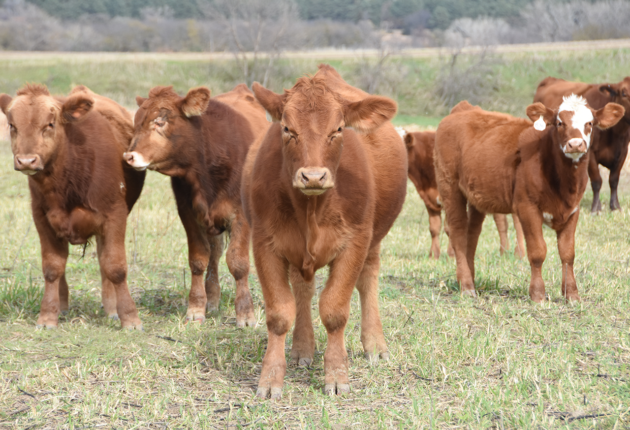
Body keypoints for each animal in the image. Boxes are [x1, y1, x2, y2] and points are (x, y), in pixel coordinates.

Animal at [0, 84, 146, 330]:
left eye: (50, 124)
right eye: (12, 125)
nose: (27, 161)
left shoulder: (115, 215)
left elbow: (115, 267)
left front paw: (129, 317)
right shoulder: (41, 217)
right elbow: (52, 267)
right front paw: (48, 316)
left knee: (103, 259)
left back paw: (111, 308)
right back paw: (63, 305)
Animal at [124, 83, 268, 326]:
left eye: (160, 121)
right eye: (136, 123)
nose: (129, 156)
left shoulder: (241, 215)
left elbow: (238, 263)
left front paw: (245, 314)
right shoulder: (188, 213)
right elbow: (199, 259)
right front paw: (196, 308)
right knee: (215, 254)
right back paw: (212, 299)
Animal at [242, 64, 410, 400]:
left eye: (338, 130)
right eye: (287, 129)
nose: (313, 176)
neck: (311, 209)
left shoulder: (355, 243)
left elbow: (335, 310)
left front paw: (336, 375)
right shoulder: (265, 244)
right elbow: (279, 314)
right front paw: (270, 378)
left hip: (374, 240)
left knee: (368, 280)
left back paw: (375, 344)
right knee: (303, 290)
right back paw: (302, 348)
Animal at [436, 96, 624, 302]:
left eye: (589, 123)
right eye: (560, 123)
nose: (575, 144)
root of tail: (464, 109)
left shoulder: (573, 210)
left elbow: (568, 253)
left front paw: (572, 294)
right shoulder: (527, 208)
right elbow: (537, 251)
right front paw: (538, 294)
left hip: (476, 196)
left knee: (472, 234)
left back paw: (469, 279)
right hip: (450, 188)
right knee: (458, 232)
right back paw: (467, 286)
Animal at [536, 77, 630, 213]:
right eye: (624, 93)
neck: (614, 134)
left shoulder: (622, 152)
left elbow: (613, 180)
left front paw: (615, 206)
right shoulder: (591, 153)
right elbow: (596, 181)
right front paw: (596, 208)